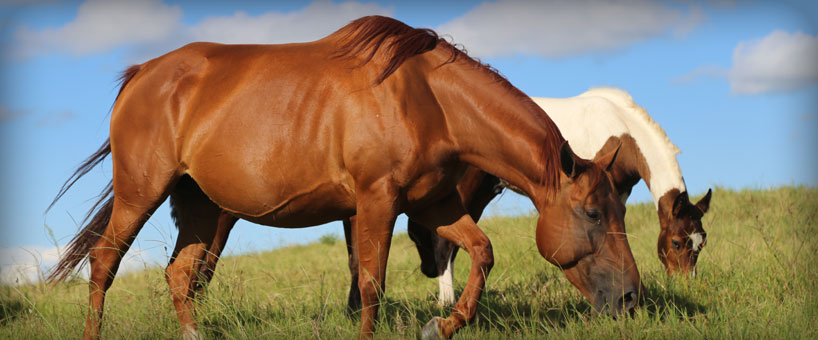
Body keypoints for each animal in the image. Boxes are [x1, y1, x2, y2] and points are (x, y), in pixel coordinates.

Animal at [49, 15, 636, 340]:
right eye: (591, 212)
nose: (631, 299)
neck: (427, 99)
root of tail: (141, 74)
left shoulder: (433, 206)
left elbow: (482, 252)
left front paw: (442, 325)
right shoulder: (377, 203)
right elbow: (371, 284)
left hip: (199, 206)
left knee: (179, 274)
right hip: (142, 193)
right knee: (104, 264)